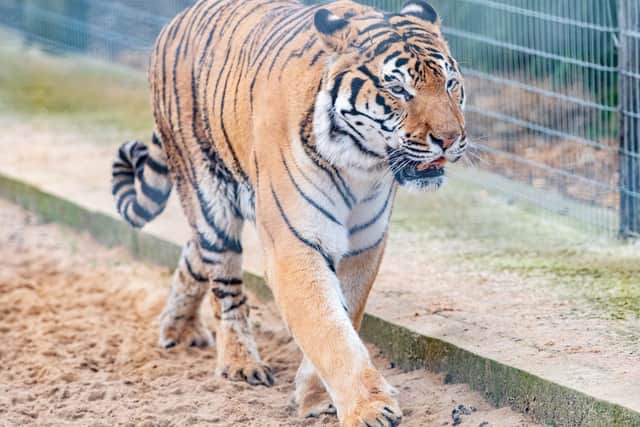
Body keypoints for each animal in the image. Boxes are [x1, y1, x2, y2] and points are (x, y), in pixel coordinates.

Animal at [111, 0, 466, 425]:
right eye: (397, 89)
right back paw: (240, 364)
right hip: (210, 198)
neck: (363, 167)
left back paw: (178, 330)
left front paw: (314, 398)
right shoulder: (294, 246)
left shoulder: (364, 246)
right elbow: (328, 330)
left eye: (449, 83)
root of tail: (179, 17)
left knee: (192, 254)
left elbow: (344, 317)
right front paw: (369, 409)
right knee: (225, 288)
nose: (450, 139)